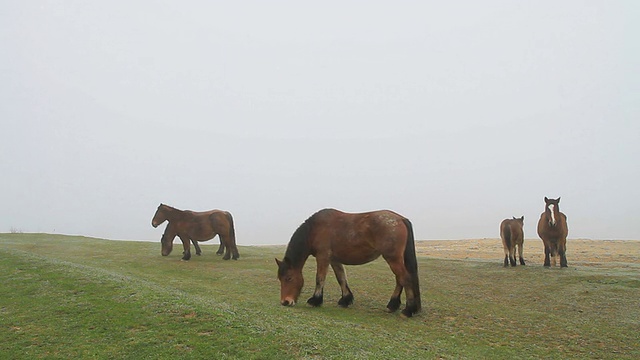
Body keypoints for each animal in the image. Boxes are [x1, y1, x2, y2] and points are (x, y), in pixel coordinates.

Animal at [274, 208, 420, 318]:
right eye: (280, 279)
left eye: (289, 278)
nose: (285, 302)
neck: (314, 230)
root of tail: (401, 219)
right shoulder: (334, 260)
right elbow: (341, 279)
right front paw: (345, 300)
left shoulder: (323, 257)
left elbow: (320, 279)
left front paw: (315, 301)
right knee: (399, 280)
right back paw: (392, 305)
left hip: (392, 259)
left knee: (405, 279)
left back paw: (408, 310)